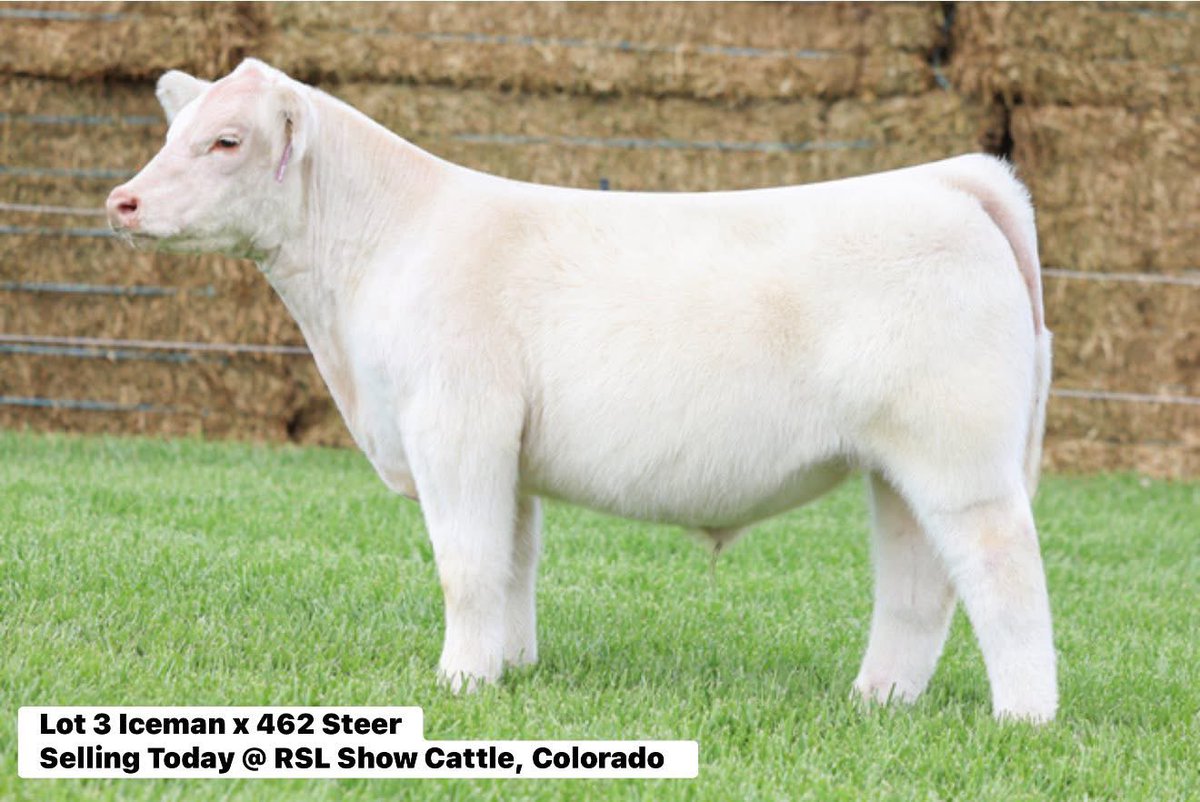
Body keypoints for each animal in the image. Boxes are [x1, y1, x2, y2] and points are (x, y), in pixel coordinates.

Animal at [107, 59, 1057, 723]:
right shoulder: (508, 449)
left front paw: (460, 683)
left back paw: (1023, 719)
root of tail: (948, 179)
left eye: (228, 140)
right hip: (898, 466)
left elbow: (467, 564)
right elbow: (514, 559)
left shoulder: (456, 424)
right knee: (917, 584)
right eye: (174, 130)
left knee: (1003, 568)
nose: (122, 201)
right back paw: (878, 700)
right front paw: (510, 669)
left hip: (959, 455)